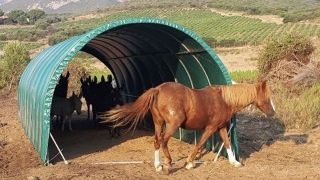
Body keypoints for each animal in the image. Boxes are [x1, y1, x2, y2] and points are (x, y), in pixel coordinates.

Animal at [102, 81, 276, 172]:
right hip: (172, 124)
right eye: (267, 97)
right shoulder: (210, 128)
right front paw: (190, 163)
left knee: (157, 141)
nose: (273, 113)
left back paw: (158, 165)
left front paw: (235, 162)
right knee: (164, 141)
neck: (224, 100)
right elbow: (199, 144)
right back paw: (168, 163)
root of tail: (157, 89)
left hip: (159, 123)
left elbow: (227, 144)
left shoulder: (221, 127)